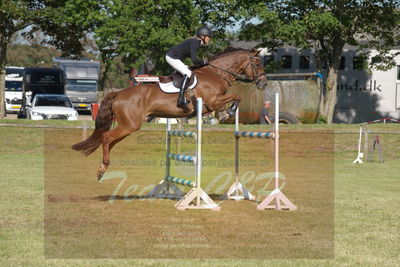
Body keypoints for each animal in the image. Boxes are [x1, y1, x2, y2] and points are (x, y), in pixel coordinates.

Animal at [72, 50, 266, 180]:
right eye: (257, 64)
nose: (263, 83)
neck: (216, 74)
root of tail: (118, 94)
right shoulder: (211, 101)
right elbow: (236, 97)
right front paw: (229, 112)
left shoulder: (211, 105)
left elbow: (232, 99)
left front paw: (226, 113)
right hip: (130, 125)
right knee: (106, 138)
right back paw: (102, 168)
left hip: (128, 126)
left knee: (109, 140)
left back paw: (102, 167)